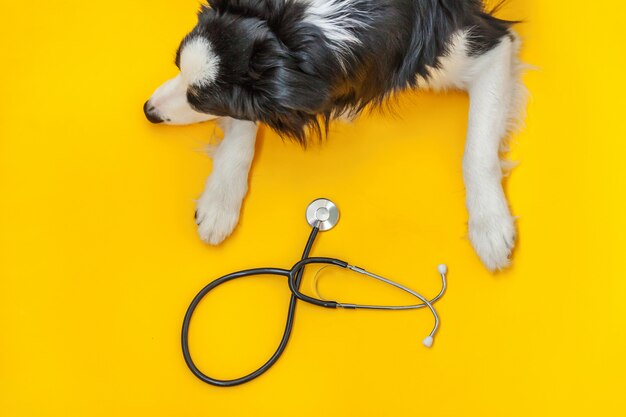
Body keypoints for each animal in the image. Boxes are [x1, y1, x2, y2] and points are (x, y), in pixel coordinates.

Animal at [143, 0, 528, 270]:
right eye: (177, 65)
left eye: (199, 99)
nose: (149, 112)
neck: (297, 34)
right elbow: (243, 126)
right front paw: (220, 201)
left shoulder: (488, 45)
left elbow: (476, 152)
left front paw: (489, 224)